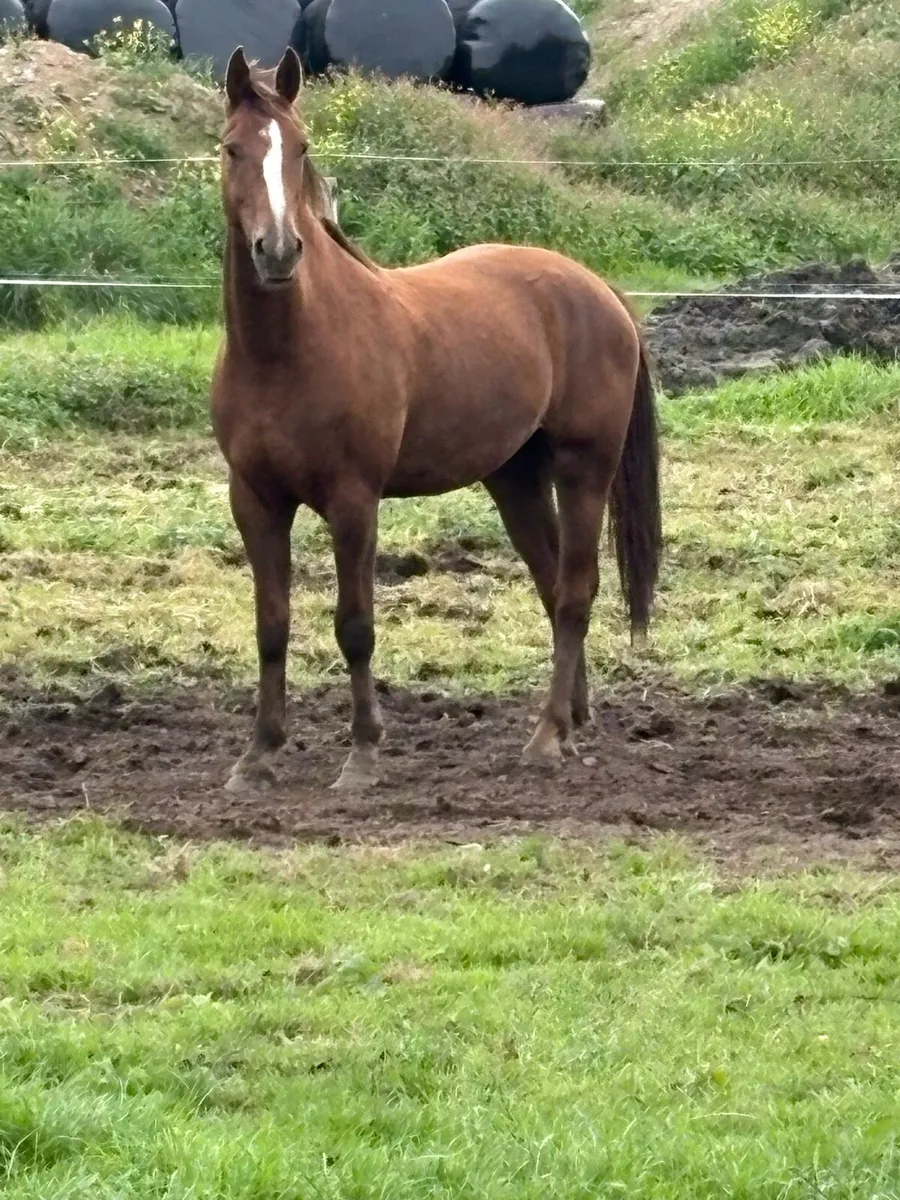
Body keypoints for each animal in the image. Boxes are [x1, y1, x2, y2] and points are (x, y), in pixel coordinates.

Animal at [211, 46, 662, 793]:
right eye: (232, 149)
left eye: (300, 148)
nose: (277, 251)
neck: (288, 349)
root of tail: (596, 288)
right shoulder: (255, 500)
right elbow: (270, 626)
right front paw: (258, 755)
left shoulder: (354, 501)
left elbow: (355, 626)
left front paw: (363, 754)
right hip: (515, 479)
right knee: (553, 586)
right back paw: (572, 720)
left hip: (584, 468)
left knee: (575, 592)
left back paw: (547, 736)